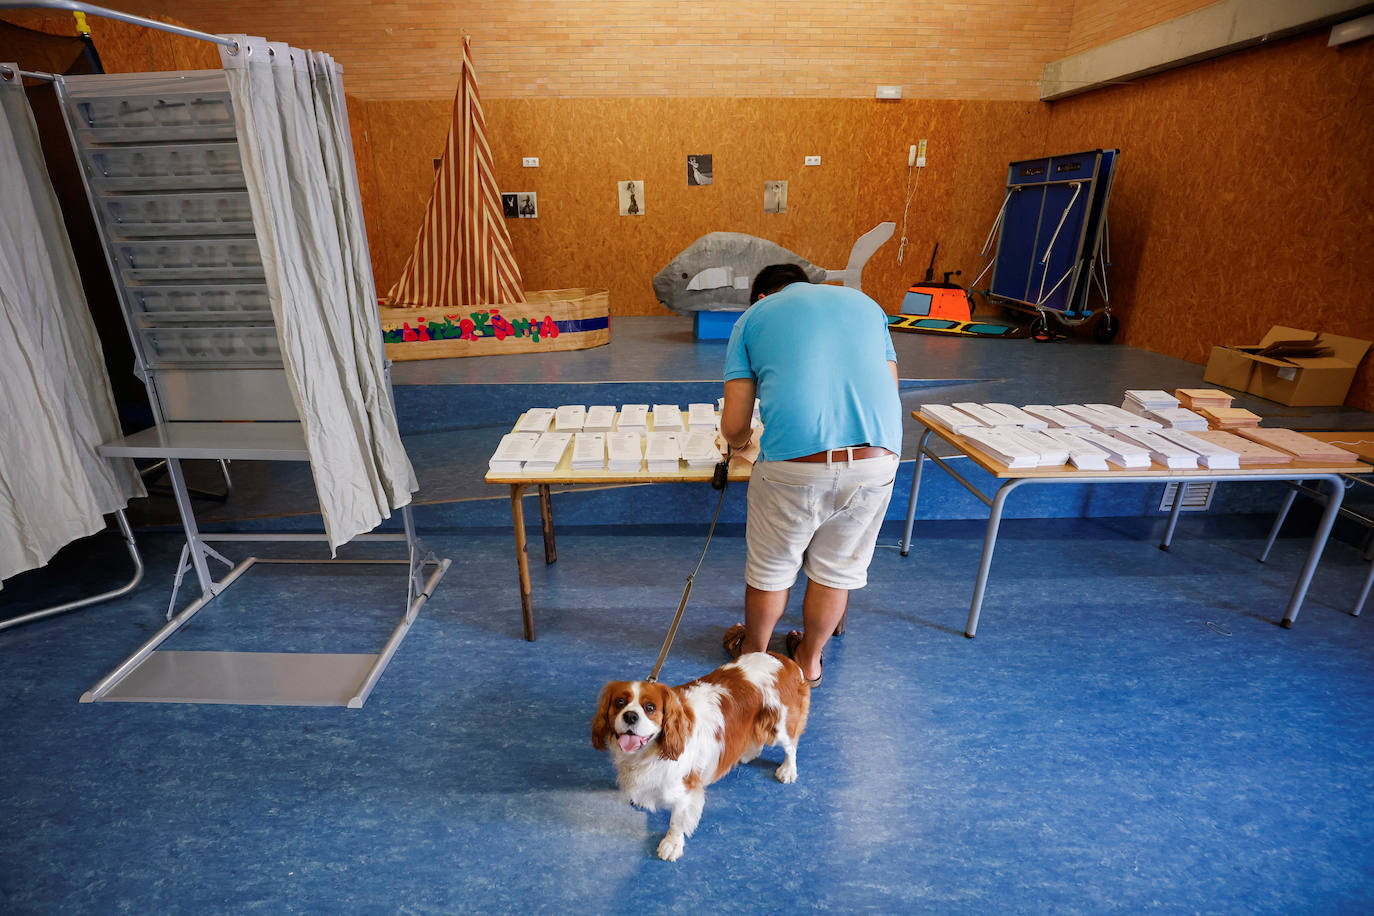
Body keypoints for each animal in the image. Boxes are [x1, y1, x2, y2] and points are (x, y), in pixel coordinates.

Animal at [588, 650, 802, 862]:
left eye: (650, 708)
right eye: (620, 702)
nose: (630, 716)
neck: (650, 752)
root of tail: (785, 660)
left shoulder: (687, 789)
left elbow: (677, 820)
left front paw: (671, 844)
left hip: (780, 725)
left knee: (791, 746)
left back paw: (788, 770)